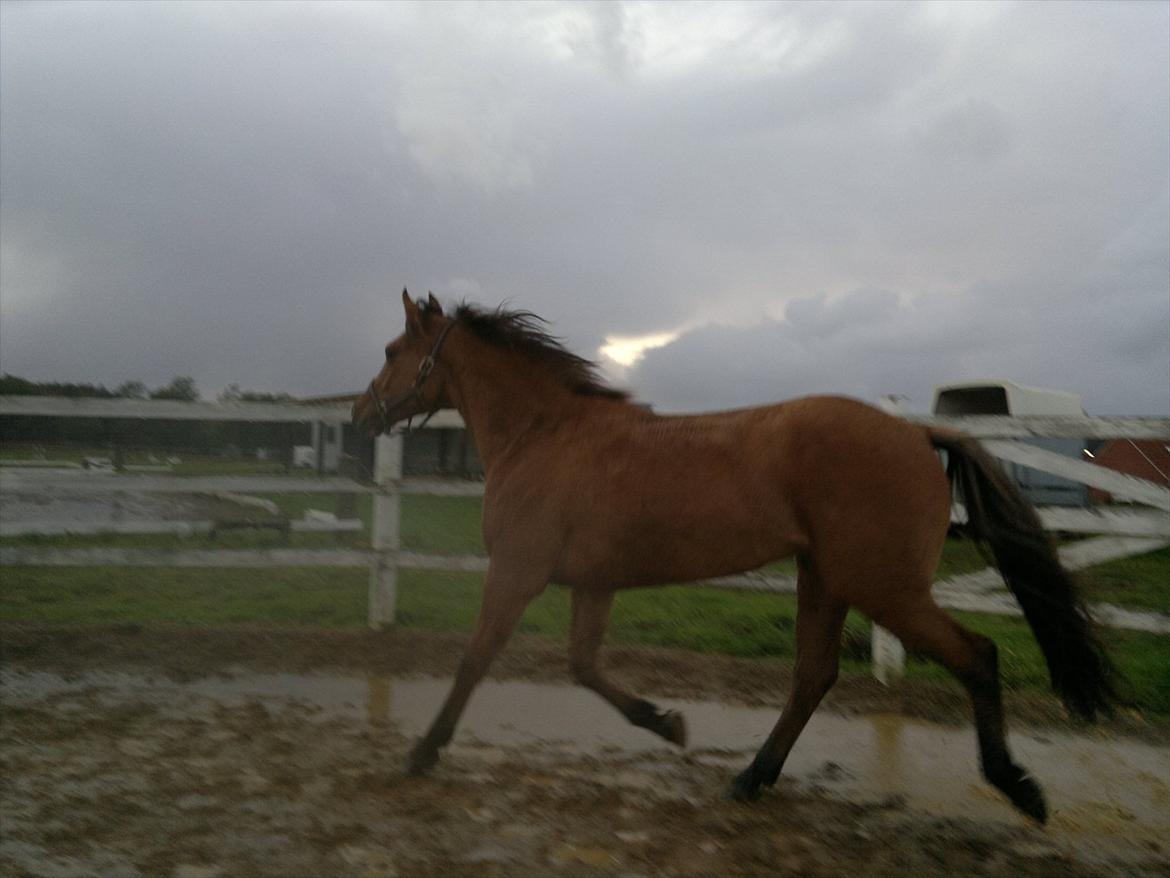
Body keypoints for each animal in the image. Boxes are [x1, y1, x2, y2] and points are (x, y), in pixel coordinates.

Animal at [352, 290, 1116, 823]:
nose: (362, 414)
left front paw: (422, 751)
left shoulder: (517, 574)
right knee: (813, 675)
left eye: (390, 349)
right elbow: (584, 666)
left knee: (975, 656)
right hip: (826, 579)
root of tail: (917, 434)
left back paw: (1019, 788)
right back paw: (752, 778)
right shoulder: (593, 584)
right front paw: (667, 723)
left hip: (885, 588)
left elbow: (475, 659)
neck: (545, 436)